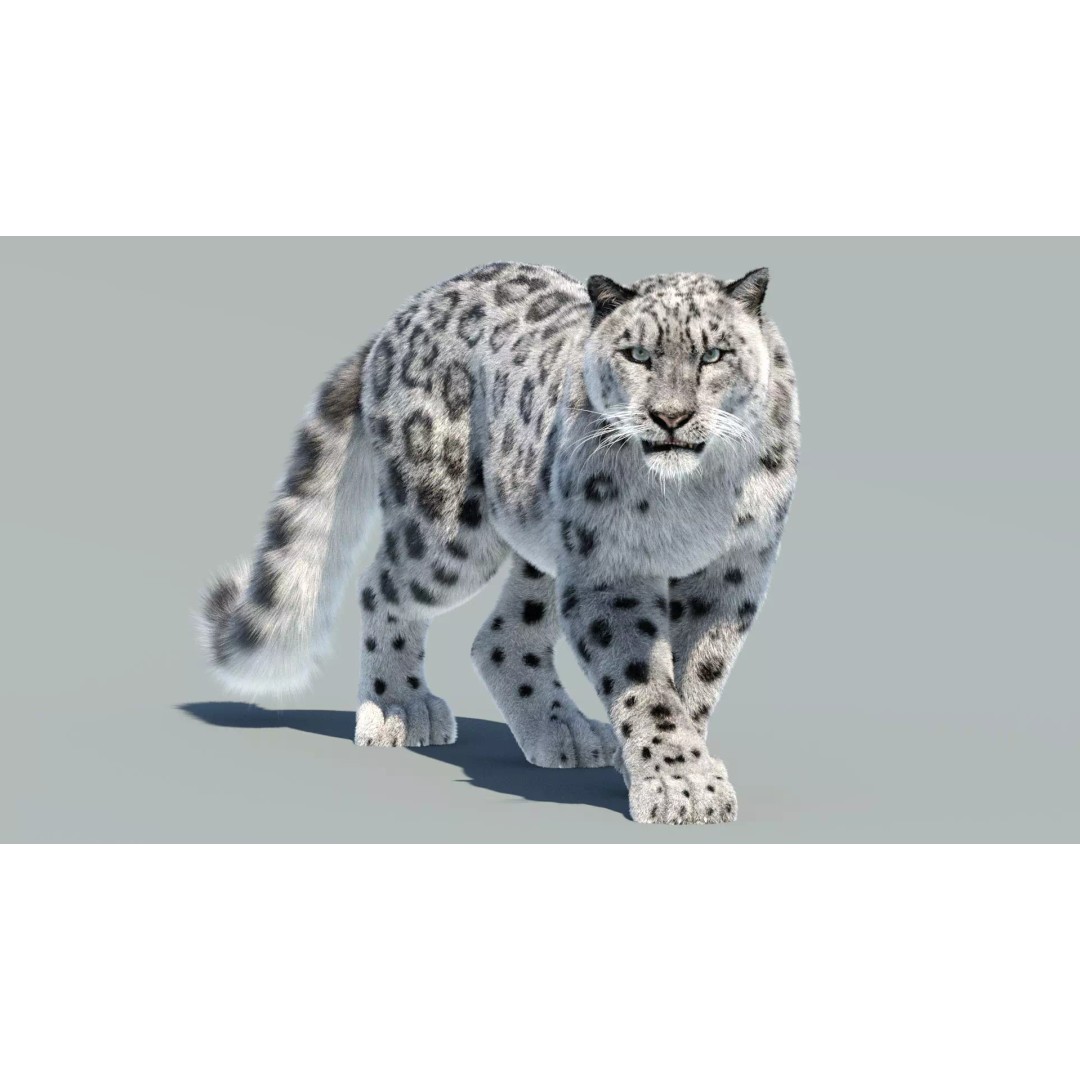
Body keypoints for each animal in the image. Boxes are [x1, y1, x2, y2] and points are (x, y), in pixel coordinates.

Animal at [198, 261, 800, 824]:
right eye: (637, 355)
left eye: (714, 354)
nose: (670, 417)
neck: (696, 493)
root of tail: (401, 316)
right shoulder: (612, 569)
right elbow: (644, 683)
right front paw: (680, 785)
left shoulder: (733, 572)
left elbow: (696, 677)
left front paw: (674, 772)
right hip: (449, 533)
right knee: (382, 587)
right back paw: (399, 708)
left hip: (549, 543)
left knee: (503, 636)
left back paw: (564, 731)